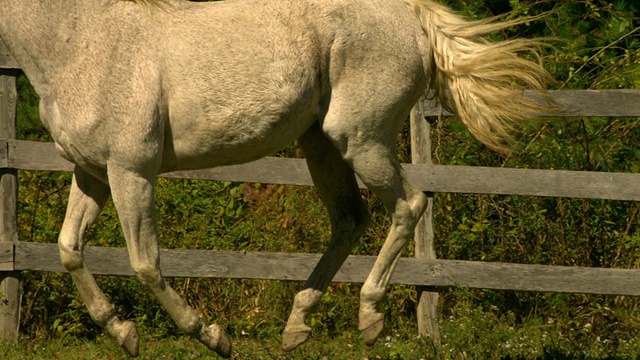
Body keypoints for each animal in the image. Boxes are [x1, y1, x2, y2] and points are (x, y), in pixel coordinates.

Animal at [0, 0, 552, 356]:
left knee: (407, 206)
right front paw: (121, 331)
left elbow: (145, 264)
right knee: (350, 220)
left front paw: (211, 335)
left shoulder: (131, 171)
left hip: (361, 138)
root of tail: (413, 17)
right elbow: (69, 250)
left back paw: (369, 317)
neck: (76, 38)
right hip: (320, 145)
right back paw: (297, 325)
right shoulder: (92, 173)